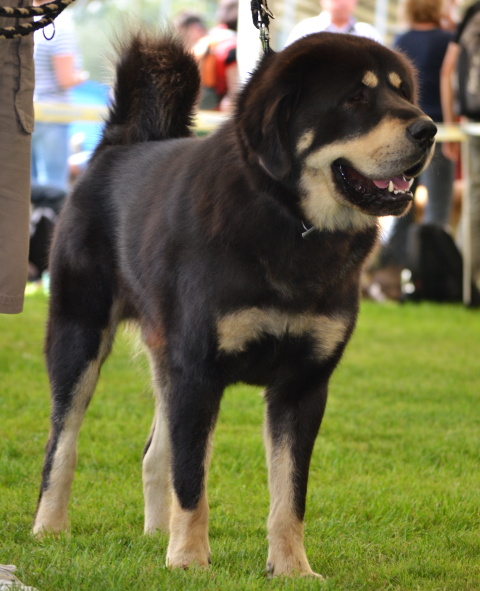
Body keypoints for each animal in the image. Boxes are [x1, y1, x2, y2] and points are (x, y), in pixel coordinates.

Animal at [33, 31, 436, 580]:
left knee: (153, 454)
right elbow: (192, 481)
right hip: (80, 335)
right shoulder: (199, 372)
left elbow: (289, 493)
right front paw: (188, 559)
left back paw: (154, 534)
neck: (289, 221)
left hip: (164, 361)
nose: (429, 129)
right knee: (63, 441)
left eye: (403, 93)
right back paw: (51, 528)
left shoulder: (302, 385)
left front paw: (291, 569)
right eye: (356, 97)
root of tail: (120, 143)